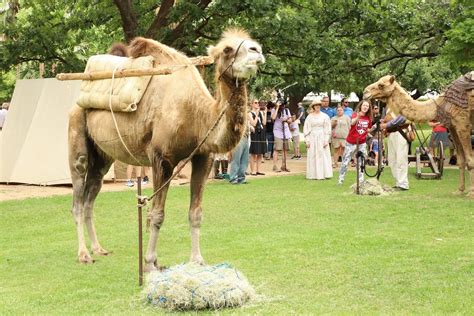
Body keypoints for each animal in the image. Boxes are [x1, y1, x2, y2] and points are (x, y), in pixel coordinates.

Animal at [68, 29, 264, 270]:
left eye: (253, 43)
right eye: (227, 49)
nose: (257, 51)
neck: (196, 115)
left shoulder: (203, 156)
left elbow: (195, 213)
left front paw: (197, 260)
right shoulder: (161, 159)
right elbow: (157, 214)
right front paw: (150, 262)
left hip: (103, 157)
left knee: (90, 196)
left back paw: (99, 249)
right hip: (77, 135)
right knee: (78, 198)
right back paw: (84, 254)